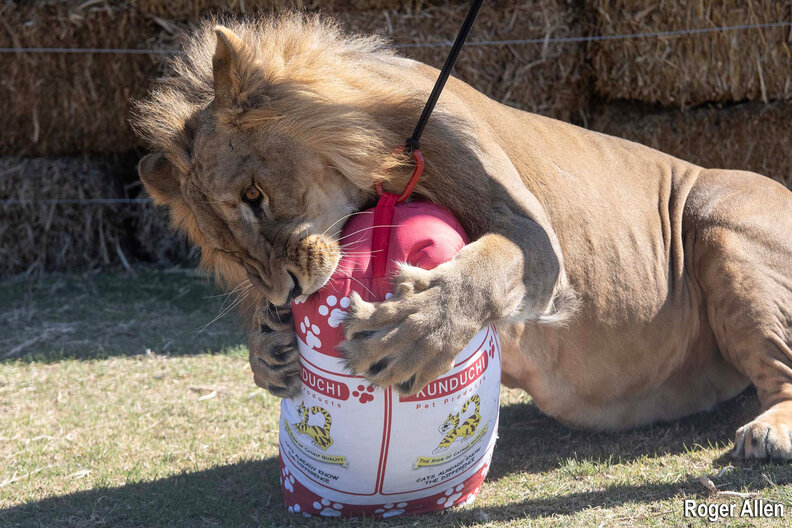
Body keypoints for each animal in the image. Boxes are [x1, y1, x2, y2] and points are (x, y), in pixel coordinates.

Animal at [132, 15, 792, 460]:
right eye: (226, 248)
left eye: (255, 195)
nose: (287, 292)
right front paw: (268, 347)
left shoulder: (534, 238)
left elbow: (487, 267)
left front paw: (412, 332)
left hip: (720, 222)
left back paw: (770, 430)